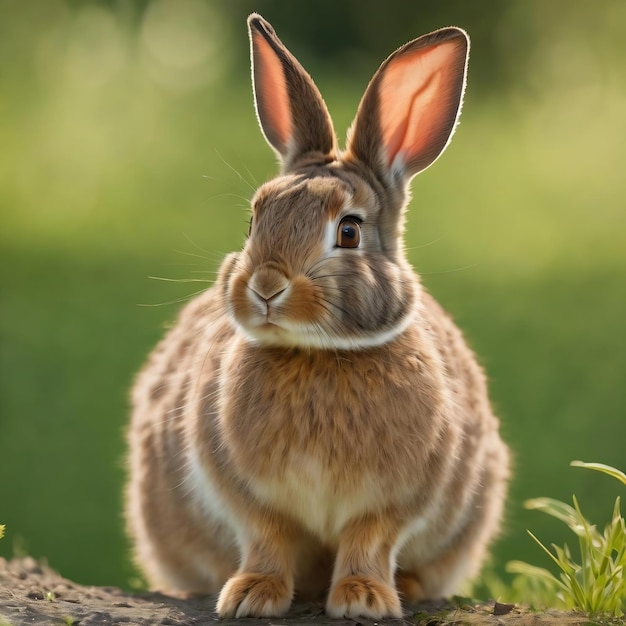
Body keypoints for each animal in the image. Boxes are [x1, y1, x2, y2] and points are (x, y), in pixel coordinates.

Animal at [125, 12, 508, 616]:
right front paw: (251, 596)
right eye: (254, 220)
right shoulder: (247, 495)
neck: (319, 352)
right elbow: (268, 537)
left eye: (348, 232)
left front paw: (363, 599)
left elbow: (368, 541)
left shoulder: (394, 501)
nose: (265, 286)